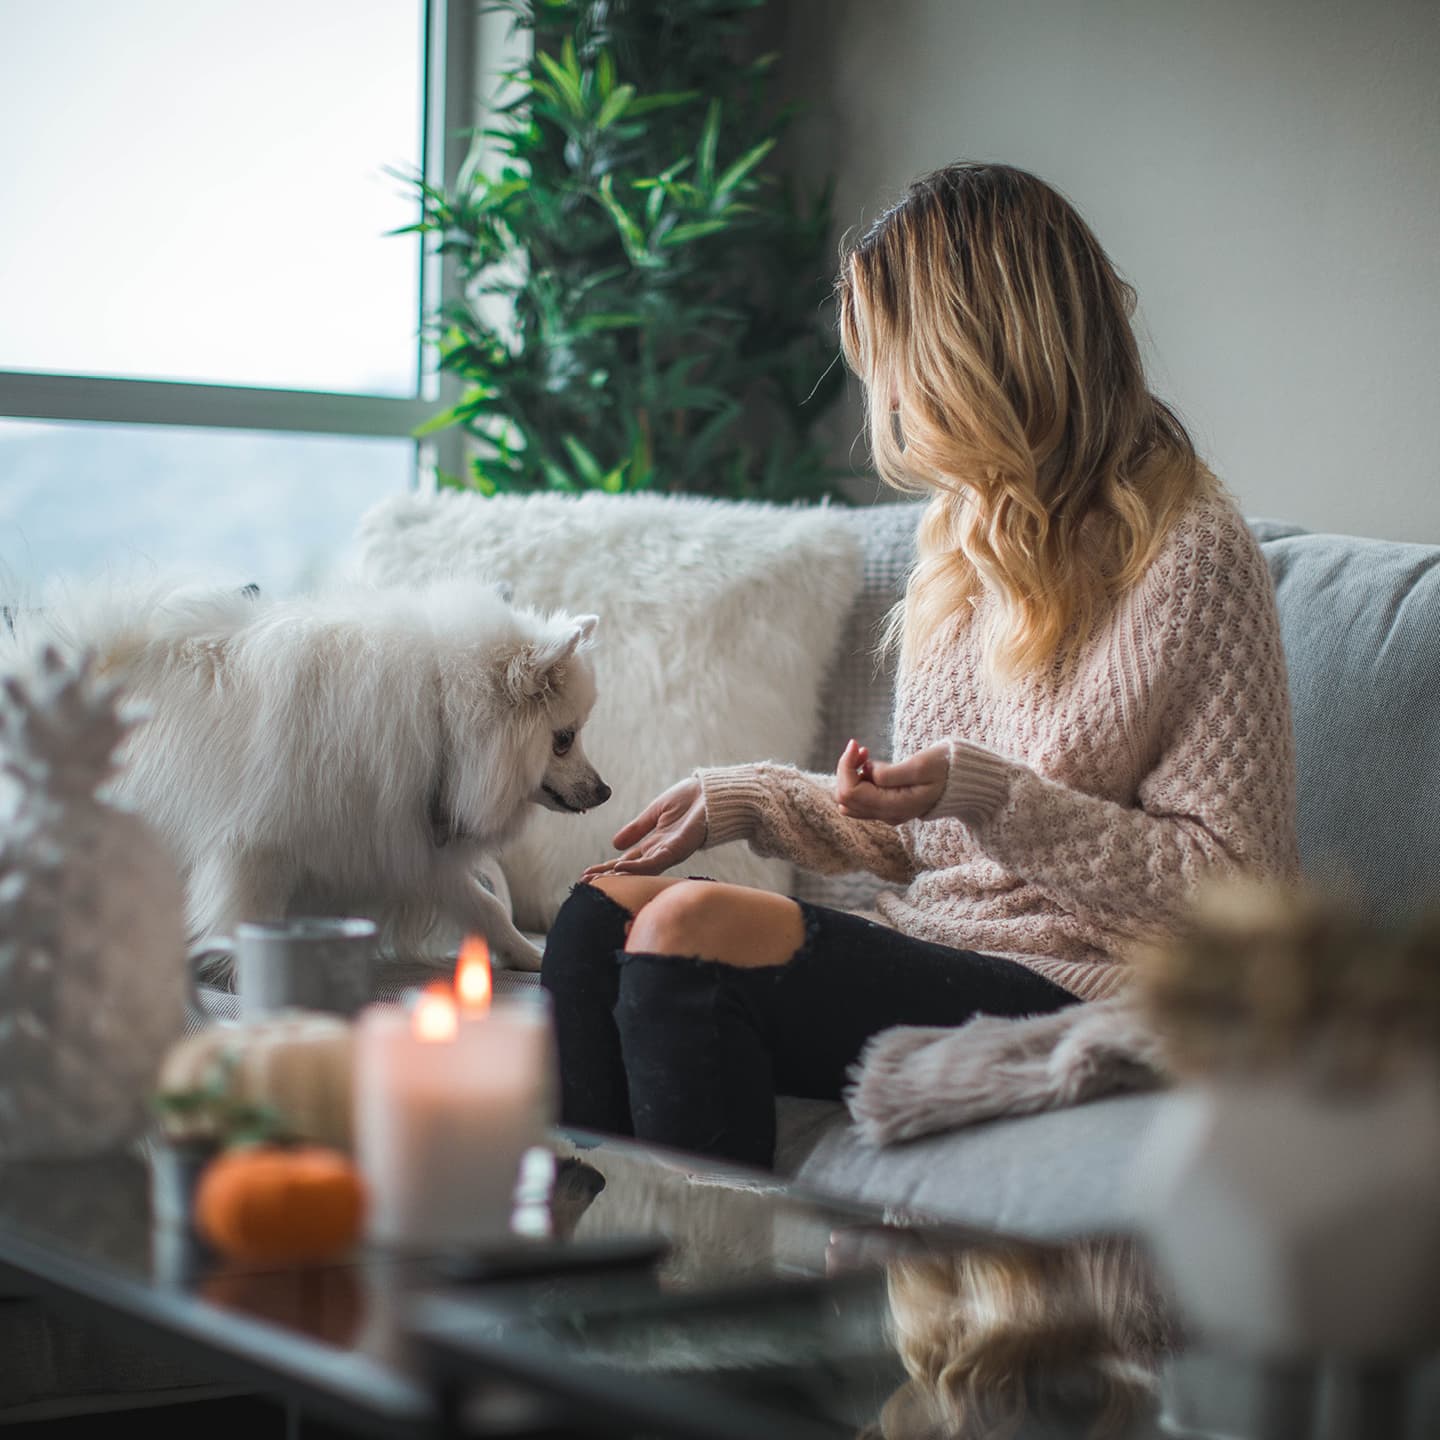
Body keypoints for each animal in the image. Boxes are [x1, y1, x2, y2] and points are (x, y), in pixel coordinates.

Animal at [9, 578, 607, 973]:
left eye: (578, 733)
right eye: (563, 738)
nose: (605, 791)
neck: (438, 713)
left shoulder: (403, 842)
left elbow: (486, 906)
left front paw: (528, 954)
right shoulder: (257, 852)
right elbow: (250, 916)